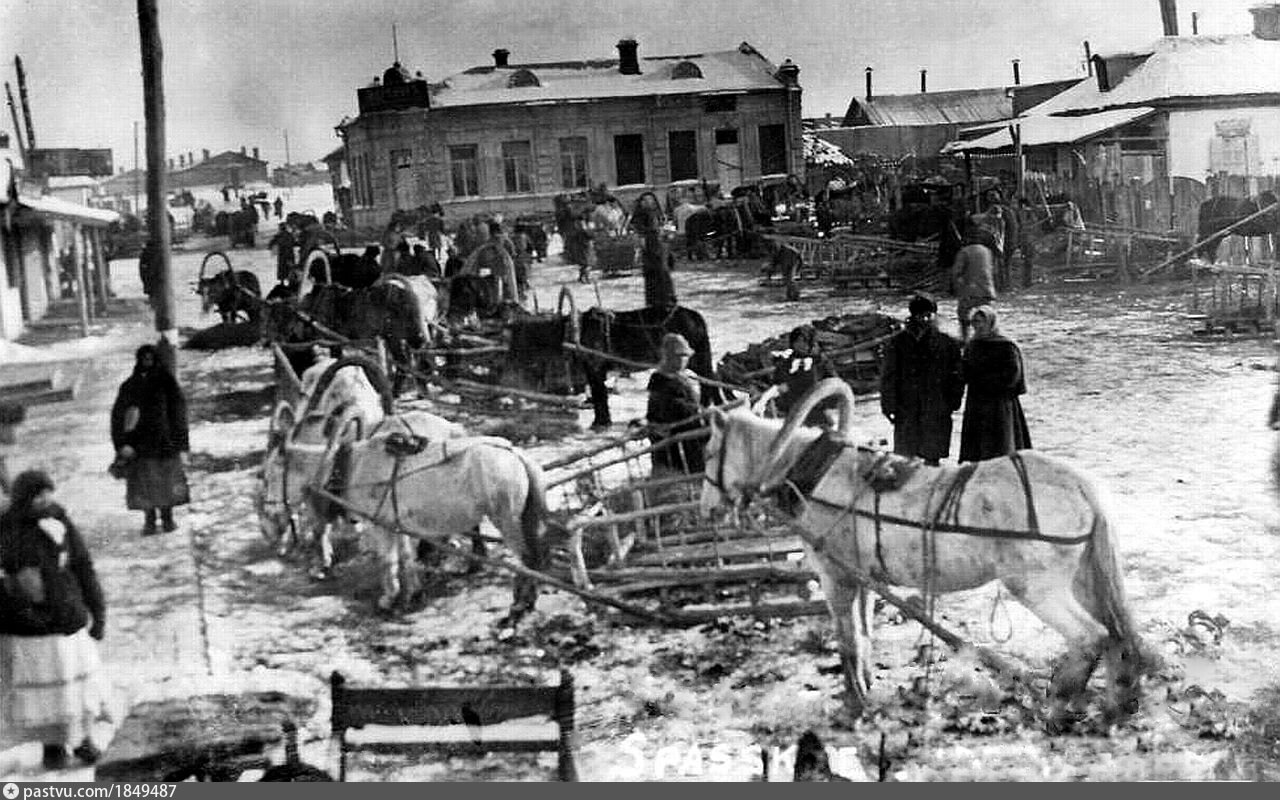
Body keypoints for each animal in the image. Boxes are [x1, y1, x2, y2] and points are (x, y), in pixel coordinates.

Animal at [312, 422, 552, 622]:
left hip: (507, 520)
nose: (322, 563)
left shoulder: (382, 526)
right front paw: (413, 594)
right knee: (534, 559)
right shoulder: (398, 524)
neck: (356, 467)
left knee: (527, 559)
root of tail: (515, 453)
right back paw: (526, 601)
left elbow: (388, 562)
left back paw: (519, 605)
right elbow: (406, 558)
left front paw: (388, 599)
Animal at [578, 305, 721, 430]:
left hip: (695, 360)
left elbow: (599, 394)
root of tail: (695, 316)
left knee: (708, 381)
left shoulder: (595, 367)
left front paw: (600, 423)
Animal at [701, 378, 1152, 721]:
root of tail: (1081, 486)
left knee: (1091, 637)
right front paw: (866, 688)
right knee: (1116, 634)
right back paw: (1114, 704)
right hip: (1084, 578)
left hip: (1038, 588)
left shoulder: (836, 576)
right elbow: (864, 635)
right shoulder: (864, 578)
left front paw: (855, 702)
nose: (709, 509)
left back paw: (1057, 705)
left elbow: (847, 641)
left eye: (708, 452)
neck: (817, 476)